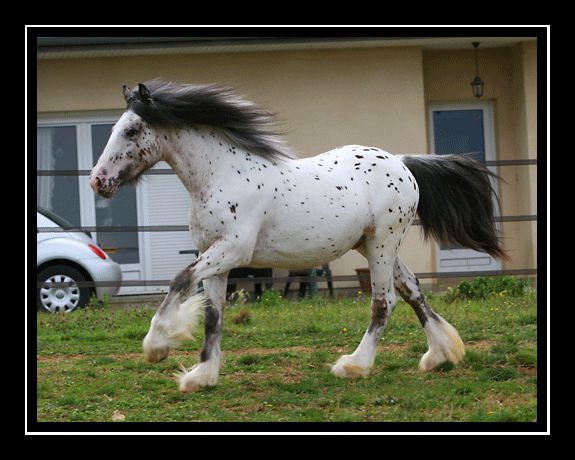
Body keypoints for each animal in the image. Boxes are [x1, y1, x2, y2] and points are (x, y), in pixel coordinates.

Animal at [90, 79, 508, 392]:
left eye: (131, 130)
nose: (98, 181)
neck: (221, 174)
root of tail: (403, 164)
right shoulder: (215, 256)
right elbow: (213, 315)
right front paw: (202, 376)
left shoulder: (232, 251)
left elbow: (178, 281)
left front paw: (156, 346)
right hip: (373, 245)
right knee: (412, 290)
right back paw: (440, 354)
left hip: (382, 243)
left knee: (384, 301)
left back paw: (354, 365)